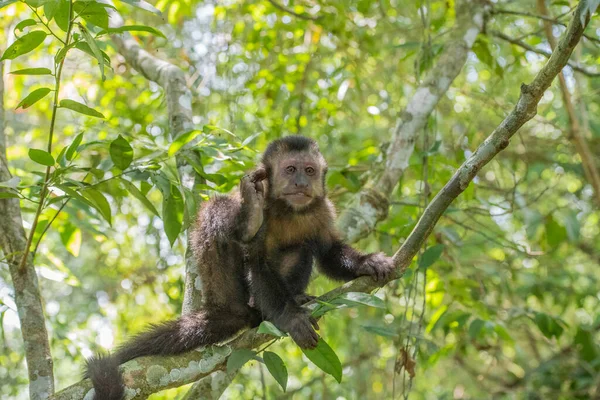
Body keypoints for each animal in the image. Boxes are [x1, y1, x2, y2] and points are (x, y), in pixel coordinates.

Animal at [84, 135, 394, 400]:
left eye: (309, 170)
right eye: (290, 169)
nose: (301, 183)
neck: (287, 209)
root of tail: (224, 306)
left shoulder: (322, 209)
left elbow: (329, 252)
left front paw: (367, 263)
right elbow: (257, 261)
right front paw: (290, 318)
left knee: (302, 247)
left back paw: (294, 297)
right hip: (228, 290)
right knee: (221, 213)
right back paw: (250, 231)